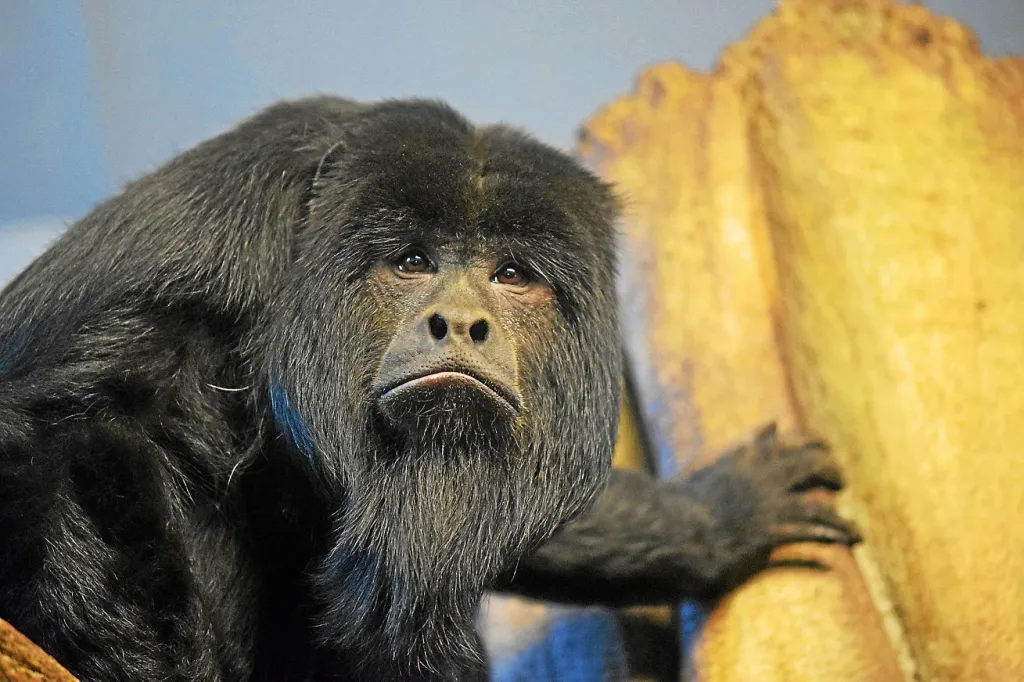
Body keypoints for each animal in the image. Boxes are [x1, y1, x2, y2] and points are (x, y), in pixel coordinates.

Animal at [0, 97, 858, 682]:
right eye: (412, 261)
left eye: (511, 274)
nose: (462, 322)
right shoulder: (210, 245)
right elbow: (70, 431)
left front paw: (718, 514)